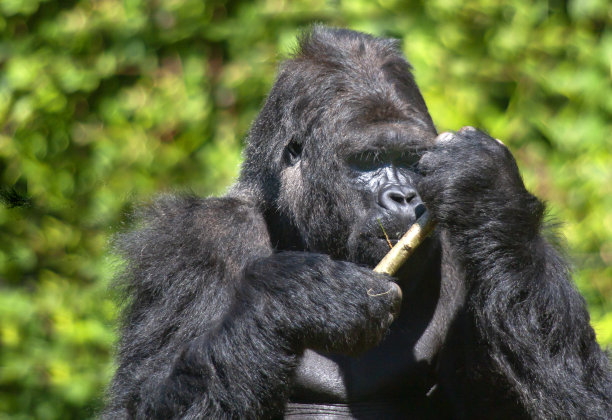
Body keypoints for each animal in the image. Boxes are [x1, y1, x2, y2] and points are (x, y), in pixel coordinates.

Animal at [103, 27, 608, 418]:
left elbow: (583, 396)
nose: (404, 195)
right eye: (368, 159)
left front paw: (485, 188)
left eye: (411, 160)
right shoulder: (190, 243)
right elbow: (137, 401)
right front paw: (302, 297)